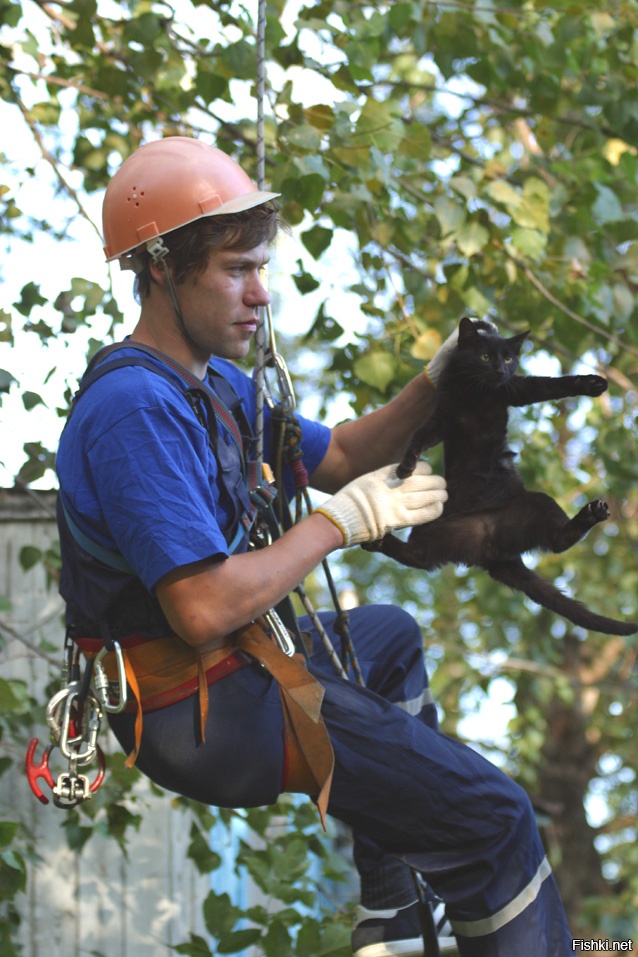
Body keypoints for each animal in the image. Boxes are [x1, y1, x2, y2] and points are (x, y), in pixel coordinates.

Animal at [372, 318, 636, 640]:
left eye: (509, 359)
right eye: (485, 356)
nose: (500, 370)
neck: (477, 392)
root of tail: (491, 551)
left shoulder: (513, 390)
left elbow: (548, 384)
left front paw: (591, 383)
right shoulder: (443, 415)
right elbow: (419, 437)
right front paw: (406, 467)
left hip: (538, 505)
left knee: (559, 540)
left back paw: (592, 514)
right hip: (432, 532)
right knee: (417, 557)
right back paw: (378, 542)